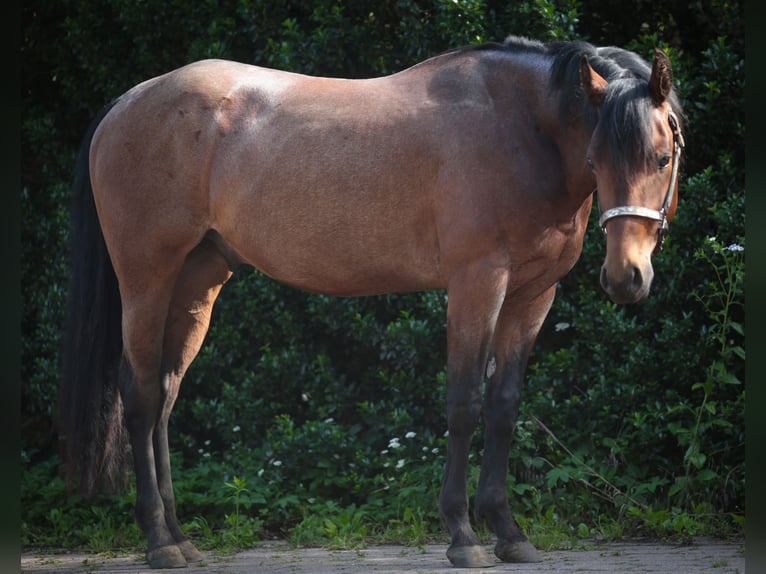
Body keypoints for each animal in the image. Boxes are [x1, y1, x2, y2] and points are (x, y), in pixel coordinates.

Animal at [59, 35, 684, 569]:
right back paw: (159, 541)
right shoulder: (477, 284)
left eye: (662, 157)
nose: (626, 277)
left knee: (166, 396)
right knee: (141, 395)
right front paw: (463, 537)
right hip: (147, 278)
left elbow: (504, 409)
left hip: (197, 284)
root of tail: (127, 101)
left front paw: (510, 534)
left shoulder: (533, 296)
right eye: (596, 157)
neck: (518, 128)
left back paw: (181, 538)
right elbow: (464, 404)